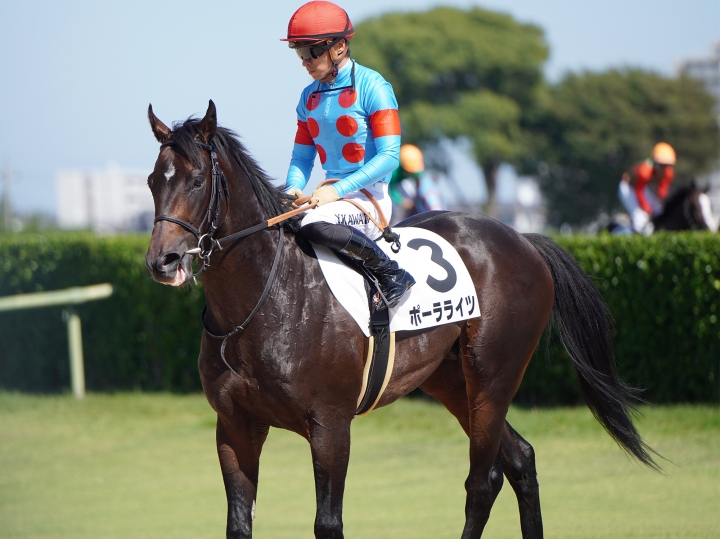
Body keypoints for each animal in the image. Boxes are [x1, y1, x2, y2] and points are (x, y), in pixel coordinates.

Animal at [145, 101, 657, 539]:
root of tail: (523, 239)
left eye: (196, 181)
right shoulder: (235, 425)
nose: (162, 261)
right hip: (451, 381)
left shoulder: (330, 426)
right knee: (520, 460)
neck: (265, 302)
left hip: (493, 377)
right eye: (152, 181)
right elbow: (239, 523)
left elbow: (328, 523)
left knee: (483, 480)